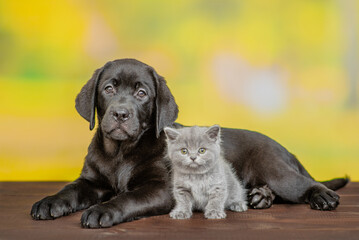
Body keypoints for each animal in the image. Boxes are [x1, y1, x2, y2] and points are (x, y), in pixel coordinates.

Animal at [31, 58, 348, 227]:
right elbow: (70, 190)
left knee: (303, 185)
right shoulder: (91, 181)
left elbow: (126, 198)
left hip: (273, 168)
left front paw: (101, 210)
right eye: (109, 89)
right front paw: (50, 202)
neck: (121, 152)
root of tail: (284, 148)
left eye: (142, 94)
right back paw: (260, 197)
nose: (120, 114)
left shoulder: (161, 189)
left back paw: (322, 197)